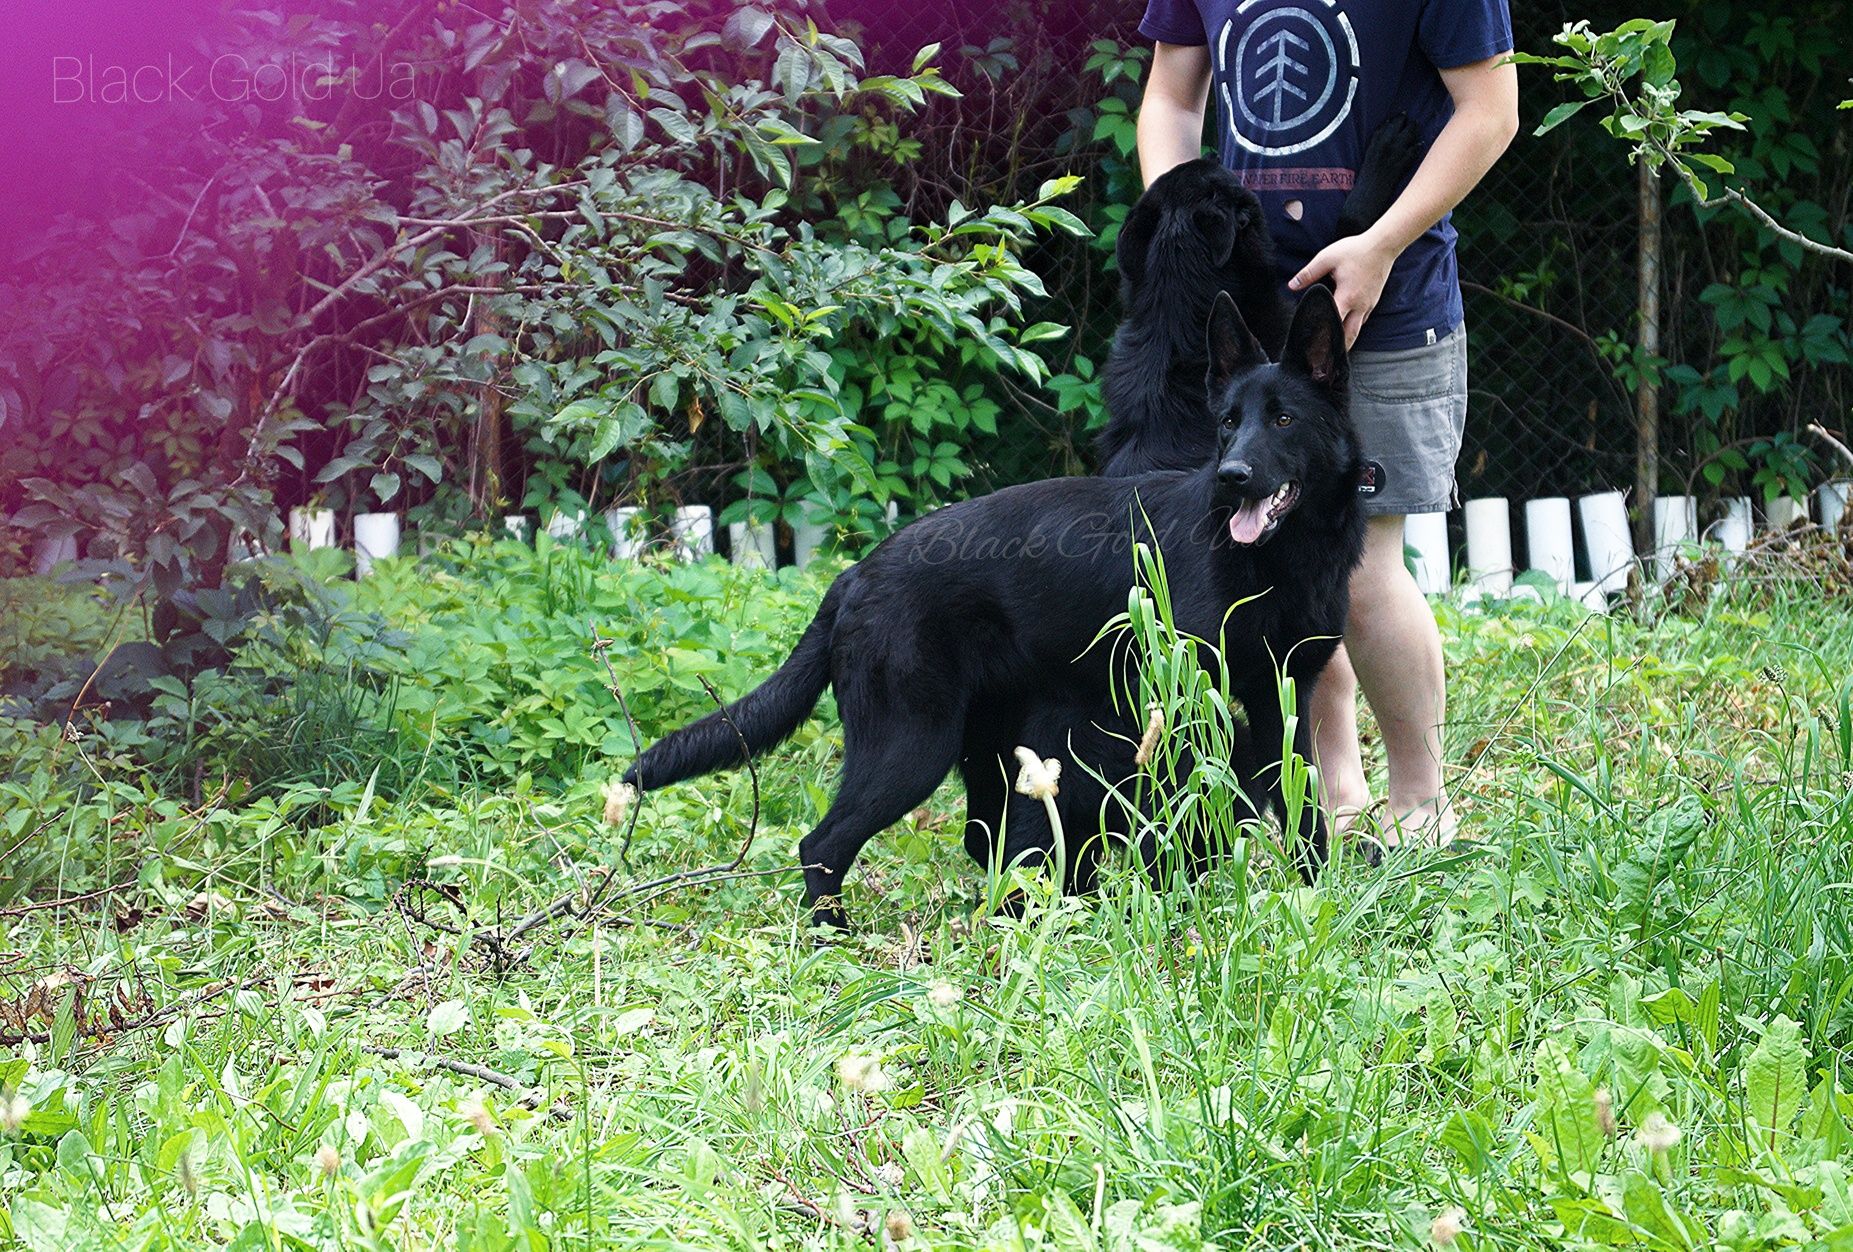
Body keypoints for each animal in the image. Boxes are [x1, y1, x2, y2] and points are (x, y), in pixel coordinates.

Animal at [630, 288, 1371, 926]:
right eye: (1227, 424)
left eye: (1282, 419)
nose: (1232, 477)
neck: (1273, 561)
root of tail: (852, 577)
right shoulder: (1174, 702)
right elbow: (1180, 810)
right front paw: (1179, 900)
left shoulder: (1281, 698)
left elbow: (1299, 802)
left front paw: (1312, 894)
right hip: (911, 748)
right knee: (824, 845)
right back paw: (833, 938)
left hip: (988, 749)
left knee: (986, 841)